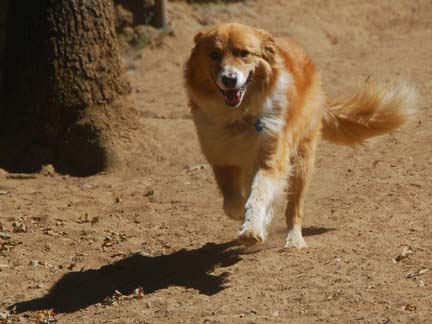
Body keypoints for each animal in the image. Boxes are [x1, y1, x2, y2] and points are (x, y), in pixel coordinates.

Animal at [184, 22, 416, 248]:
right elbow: (232, 200)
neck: (238, 117)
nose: (229, 79)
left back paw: (294, 240)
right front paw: (245, 217)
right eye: (214, 54)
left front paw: (251, 229)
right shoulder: (220, 158)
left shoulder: (271, 158)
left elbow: (258, 195)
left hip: (301, 164)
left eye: (244, 53)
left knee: (294, 209)